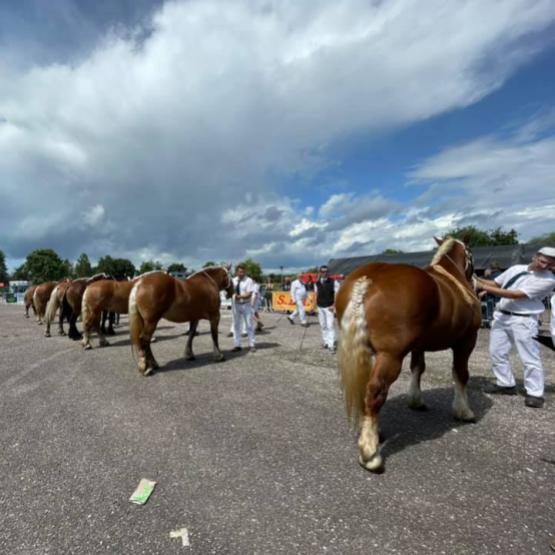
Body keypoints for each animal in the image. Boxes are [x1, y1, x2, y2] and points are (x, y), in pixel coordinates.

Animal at [336, 238, 480, 474]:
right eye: (470, 254)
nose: (475, 280)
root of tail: (367, 280)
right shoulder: (466, 341)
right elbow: (461, 374)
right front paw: (464, 411)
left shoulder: (418, 346)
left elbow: (418, 368)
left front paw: (416, 400)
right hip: (390, 356)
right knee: (375, 391)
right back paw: (370, 453)